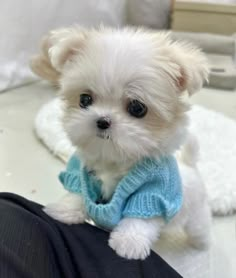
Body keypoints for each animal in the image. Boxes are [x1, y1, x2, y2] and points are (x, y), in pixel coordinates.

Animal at [30, 26, 210, 260]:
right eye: (85, 99)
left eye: (137, 108)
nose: (102, 120)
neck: (114, 159)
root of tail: (190, 165)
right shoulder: (79, 173)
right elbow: (77, 193)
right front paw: (65, 211)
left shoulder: (154, 192)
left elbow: (139, 218)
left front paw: (129, 242)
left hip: (196, 214)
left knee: (200, 227)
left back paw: (201, 245)